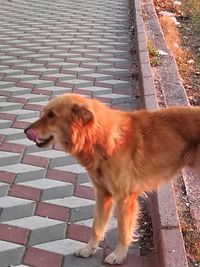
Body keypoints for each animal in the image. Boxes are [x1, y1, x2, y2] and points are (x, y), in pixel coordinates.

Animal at [24, 94, 200, 266]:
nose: (25, 131)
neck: (101, 138)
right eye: (44, 113)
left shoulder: (125, 199)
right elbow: (96, 227)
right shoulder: (103, 194)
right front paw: (89, 249)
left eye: (51, 115)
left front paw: (119, 255)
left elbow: (123, 231)